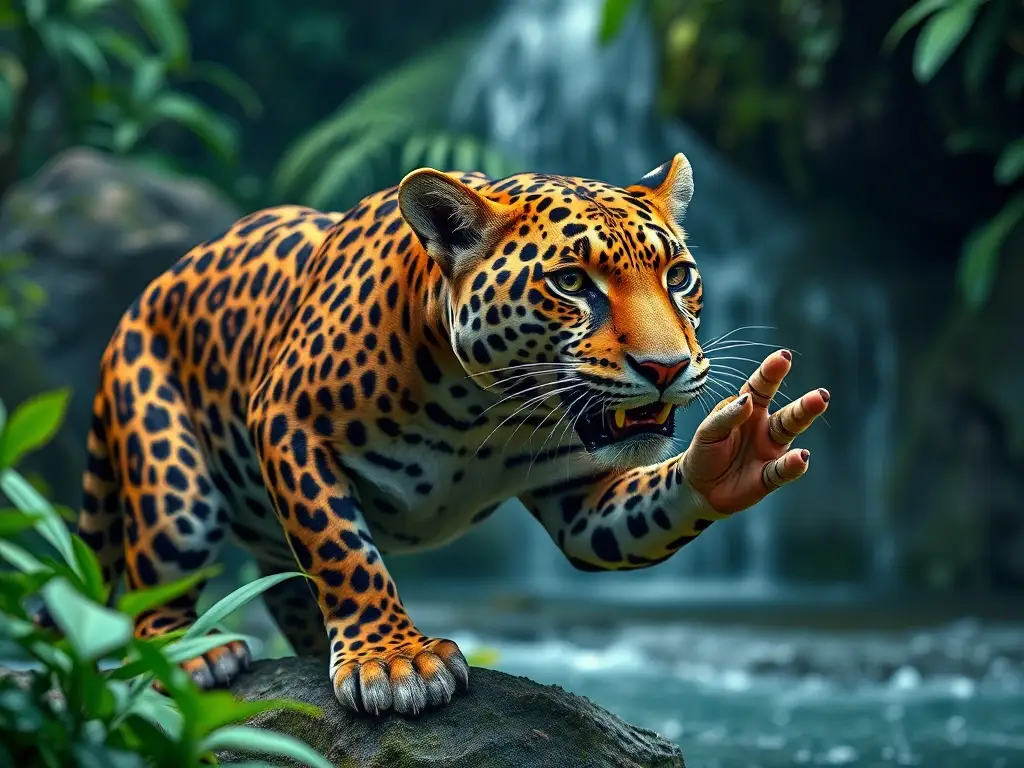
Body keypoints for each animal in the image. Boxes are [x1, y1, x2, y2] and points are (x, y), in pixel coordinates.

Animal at [43, 152, 830, 716]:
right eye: (573, 282)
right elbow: (342, 549)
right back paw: (193, 653)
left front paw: (736, 451)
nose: (666, 368)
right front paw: (394, 661)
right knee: (155, 581)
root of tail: (139, 301)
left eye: (680, 276)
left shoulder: (579, 497)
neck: (485, 411)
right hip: (170, 479)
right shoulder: (287, 419)